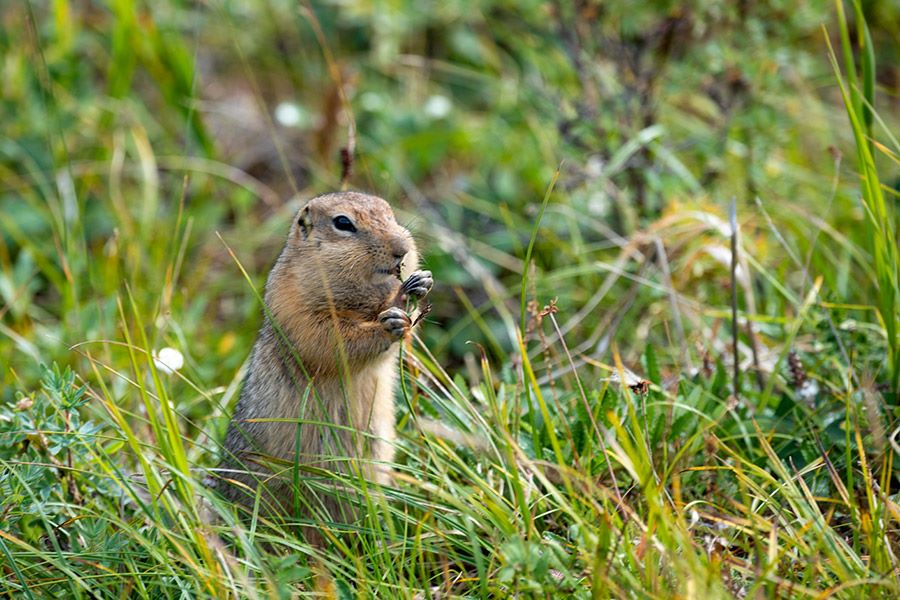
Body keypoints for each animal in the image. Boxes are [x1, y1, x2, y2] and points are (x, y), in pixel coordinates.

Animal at [214, 190, 432, 532]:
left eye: (390, 212)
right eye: (343, 223)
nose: (402, 249)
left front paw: (419, 282)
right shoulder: (295, 304)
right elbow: (331, 339)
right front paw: (391, 318)